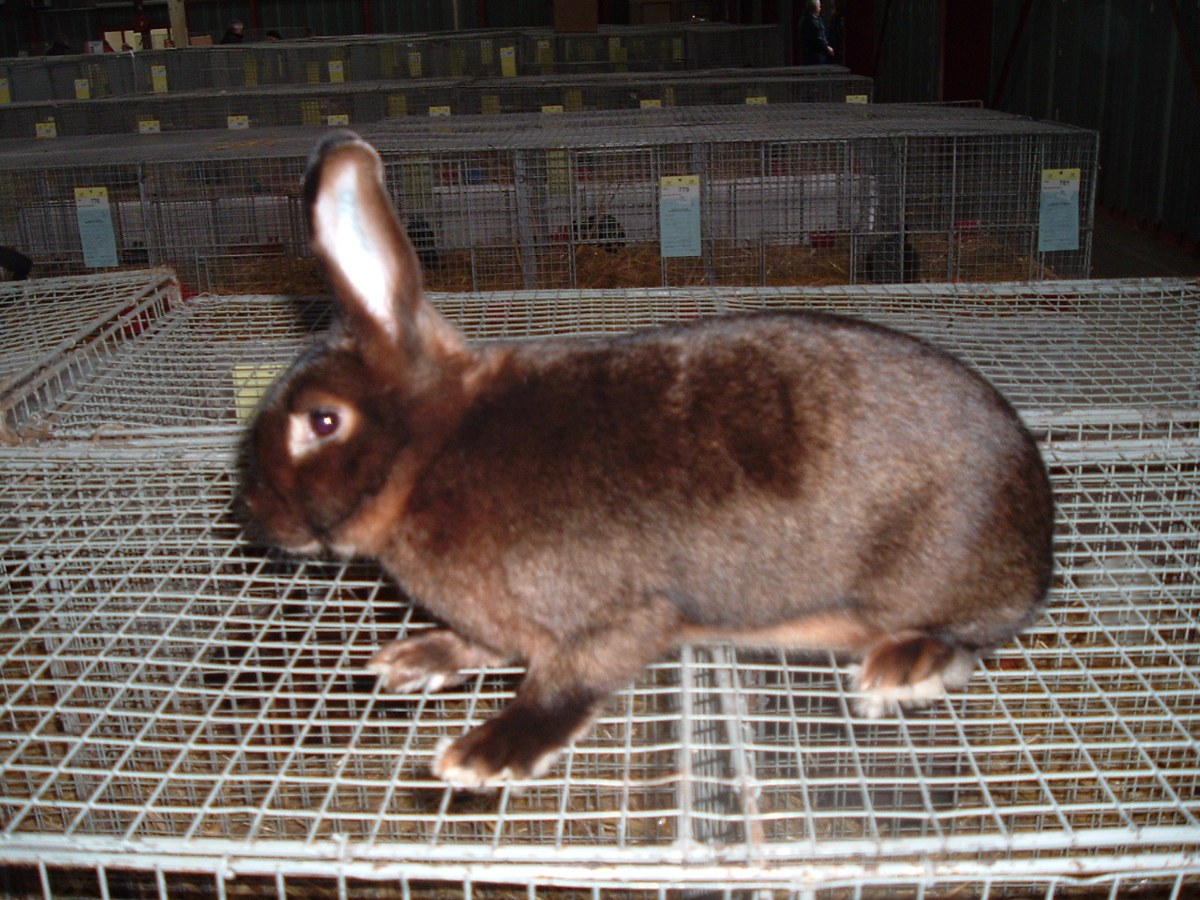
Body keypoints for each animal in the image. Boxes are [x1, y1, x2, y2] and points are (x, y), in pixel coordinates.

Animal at [240, 131, 1055, 790]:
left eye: (322, 421)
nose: (252, 511)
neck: (433, 454)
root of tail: (1038, 527)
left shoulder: (617, 615)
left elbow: (566, 684)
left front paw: (486, 756)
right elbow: (478, 644)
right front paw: (414, 660)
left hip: (931, 573)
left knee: (978, 631)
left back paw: (901, 669)